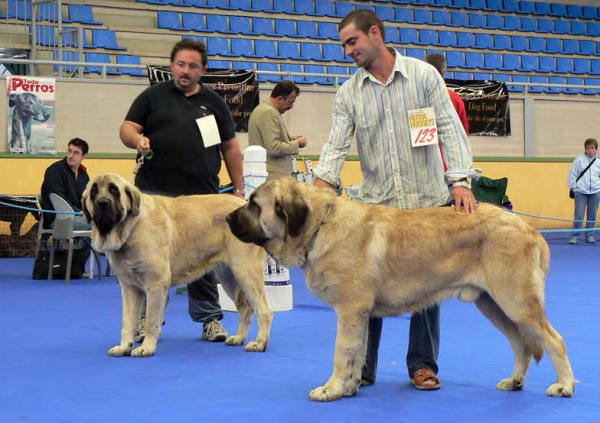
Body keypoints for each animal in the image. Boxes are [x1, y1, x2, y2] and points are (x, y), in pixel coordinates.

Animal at [82, 175, 274, 358]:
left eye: (114, 190)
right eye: (94, 191)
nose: (102, 203)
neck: (132, 227)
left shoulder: (156, 284)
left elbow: (151, 320)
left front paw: (147, 348)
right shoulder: (129, 288)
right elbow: (128, 321)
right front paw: (124, 347)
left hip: (246, 271)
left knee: (264, 310)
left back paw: (259, 343)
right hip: (229, 277)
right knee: (245, 307)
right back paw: (239, 337)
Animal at [227, 179, 576, 404]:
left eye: (254, 204)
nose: (228, 217)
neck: (319, 227)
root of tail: (530, 230)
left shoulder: (350, 311)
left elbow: (342, 352)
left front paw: (331, 390)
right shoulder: (361, 315)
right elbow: (358, 353)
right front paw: (349, 388)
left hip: (516, 301)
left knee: (554, 339)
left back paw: (564, 385)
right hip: (492, 304)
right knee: (521, 343)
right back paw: (515, 381)